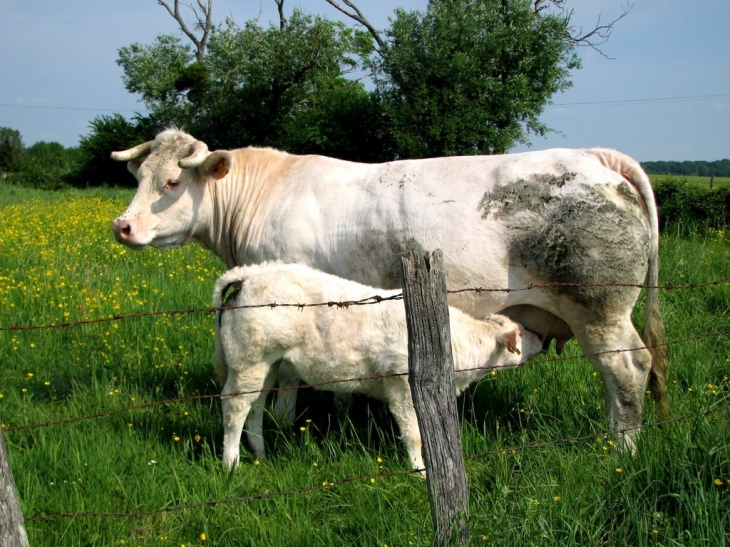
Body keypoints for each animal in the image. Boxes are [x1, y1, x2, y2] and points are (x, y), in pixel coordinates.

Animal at [212, 264, 540, 470]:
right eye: (521, 333)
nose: (541, 340)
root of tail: (251, 274)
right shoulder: (401, 383)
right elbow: (413, 433)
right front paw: (419, 470)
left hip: (267, 364)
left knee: (256, 407)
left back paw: (261, 454)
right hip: (248, 361)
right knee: (234, 409)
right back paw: (231, 464)